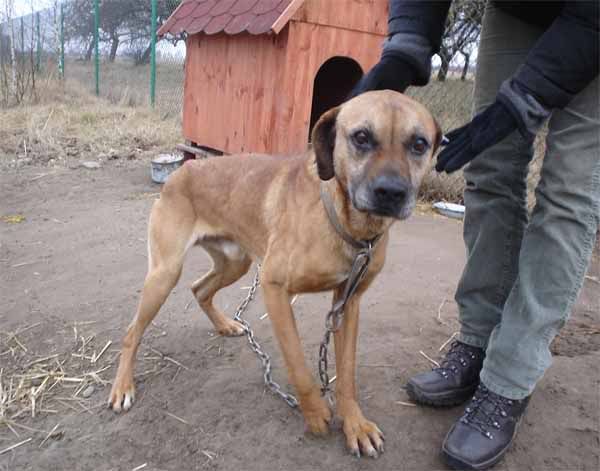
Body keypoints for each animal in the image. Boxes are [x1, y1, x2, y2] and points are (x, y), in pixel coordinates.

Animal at [108, 90, 441, 458]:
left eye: (419, 144)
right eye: (361, 137)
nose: (391, 193)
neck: (345, 223)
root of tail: (186, 169)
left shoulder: (348, 303)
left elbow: (347, 374)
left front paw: (355, 424)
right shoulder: (274, 287)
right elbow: (298, 366)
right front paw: (315, 413)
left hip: (234, 263)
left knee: (199, 289)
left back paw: (225, 325)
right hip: (165, 274)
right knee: (132, 332)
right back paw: (122, 387)